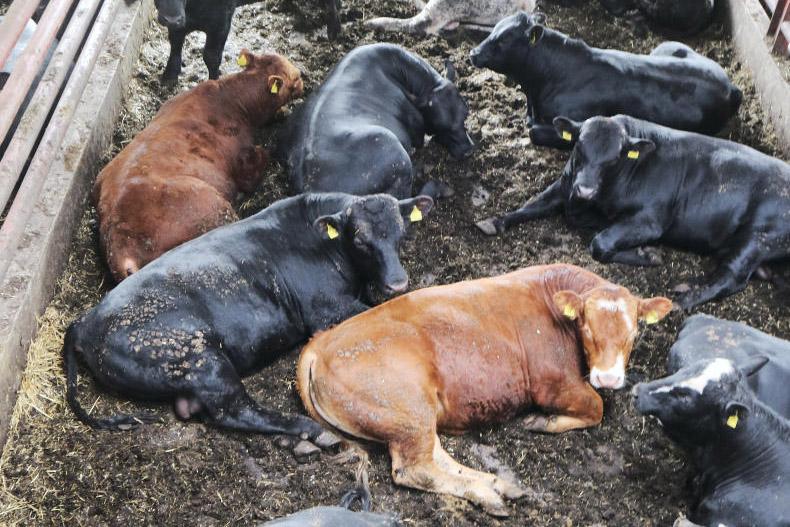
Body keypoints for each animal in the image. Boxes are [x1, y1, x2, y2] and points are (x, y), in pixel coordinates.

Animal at [64, 192, 434, 440]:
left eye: (401, 232)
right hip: (201, 359)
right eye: (359, 239)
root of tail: (85, 321)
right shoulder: (327, 308)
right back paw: (306, 430)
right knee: (234, 411)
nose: (397, 282)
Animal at [94, 50, 302, 283]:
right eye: (295, 78)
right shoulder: (244, 164)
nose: (304, 80)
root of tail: (120, 240)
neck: (232, 98)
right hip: (216, 210)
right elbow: (261, 159)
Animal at [297, 264, 672, 516]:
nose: (608, 378)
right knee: (414, 468)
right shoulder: (551, 385)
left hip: (414, 417)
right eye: (587, 329)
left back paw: (497, 485)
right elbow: (596, 407)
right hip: (406, 409)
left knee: (435, 456)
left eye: (632, 333)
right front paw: (544, 422)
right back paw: (487, 494)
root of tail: (320, 343)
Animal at [476, 115, 790, 309]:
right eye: (579, 146)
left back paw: (683, 298)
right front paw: (496, 220)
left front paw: (647, 254)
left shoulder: (650, 221)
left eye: (613, 158)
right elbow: (534, 203)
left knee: (732, 277)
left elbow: (600, 243)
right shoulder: (566, 186)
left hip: (758, 237)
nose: (585, 189)